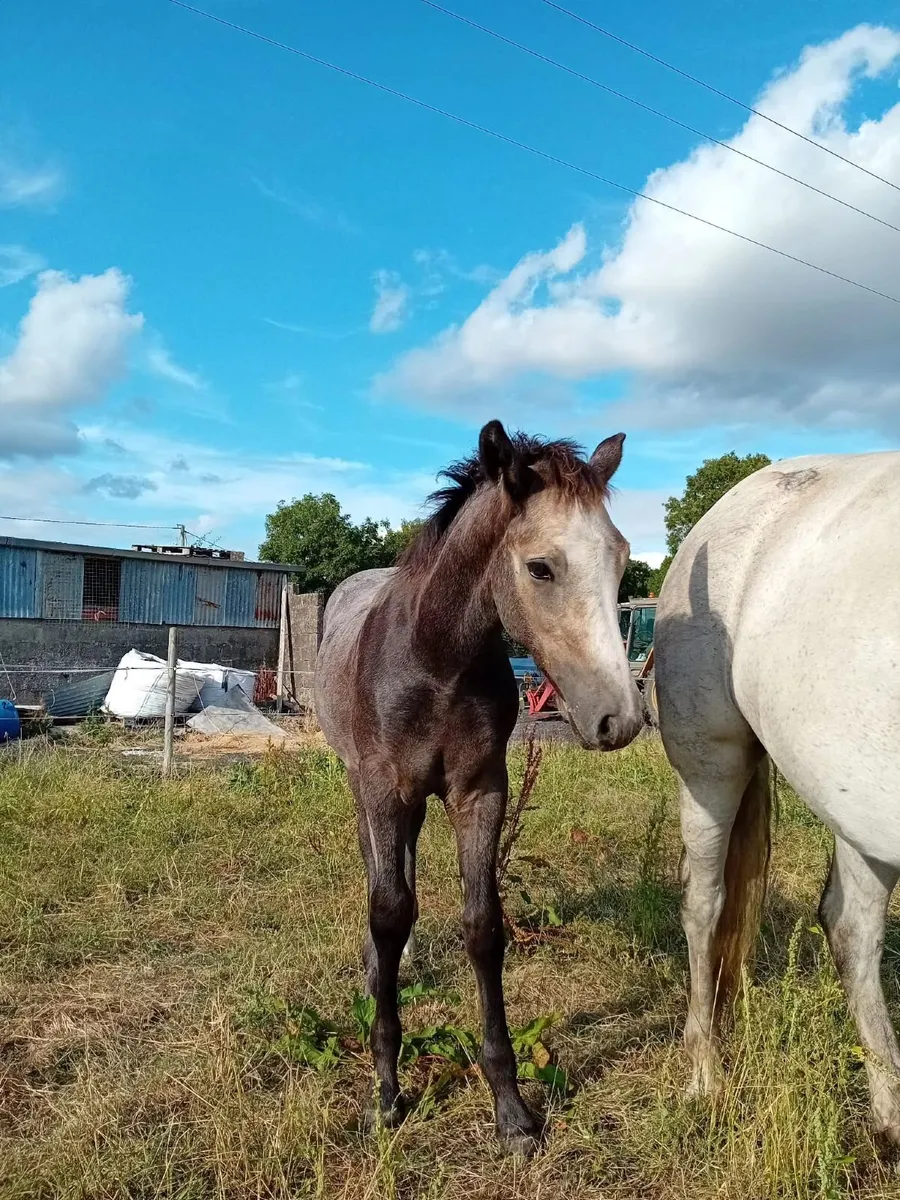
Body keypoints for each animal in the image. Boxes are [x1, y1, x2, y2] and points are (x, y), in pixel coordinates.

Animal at [315, 419, 644, 1153]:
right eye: (540, 567)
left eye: (621, 558)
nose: (622, 719)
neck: (434, 660)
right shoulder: (384, 789)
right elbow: (387, 909)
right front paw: (387, 1090)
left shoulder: (480, 793)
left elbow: (483, 926)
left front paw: (511, 1108)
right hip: (360, 788)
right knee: (380, 876)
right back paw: (380, 968)